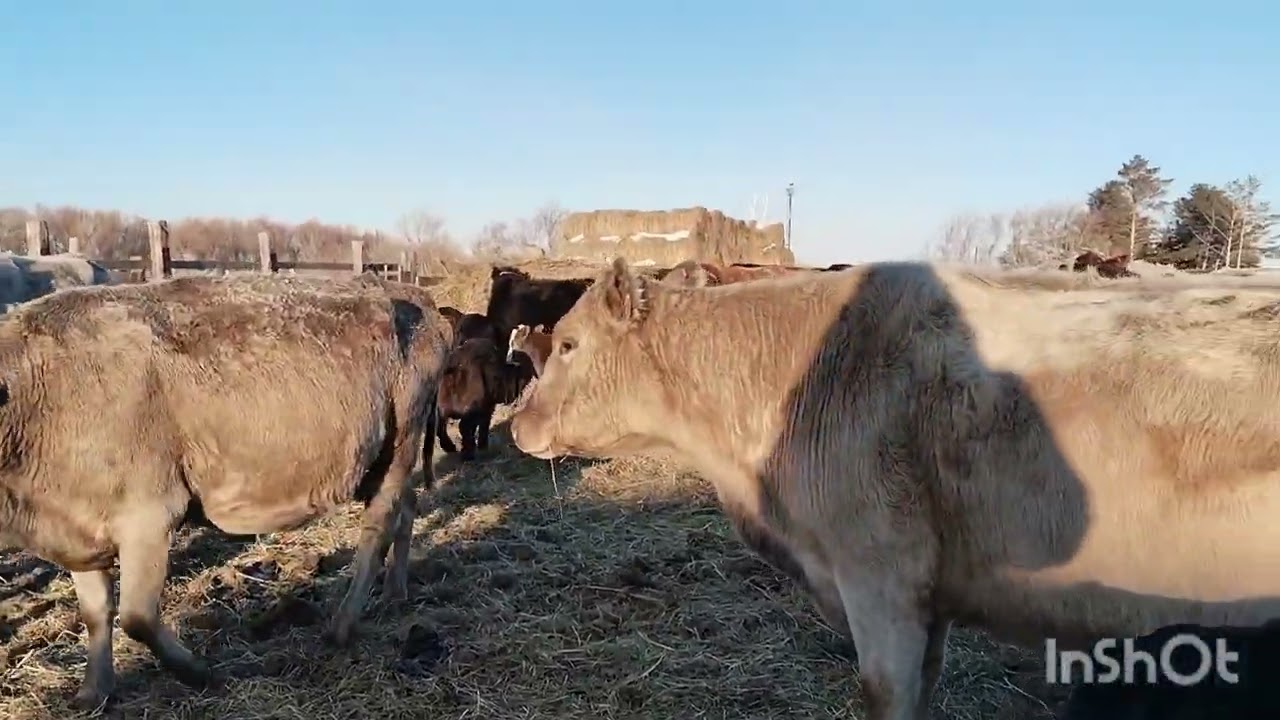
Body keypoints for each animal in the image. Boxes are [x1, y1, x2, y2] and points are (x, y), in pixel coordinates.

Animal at [0, 273, 452, 709]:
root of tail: (410, 292)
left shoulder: (148, 515)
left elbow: (136, 617)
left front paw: (198, 672)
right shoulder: (80, 531)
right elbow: (96, 613)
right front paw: (93, 692)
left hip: (401, 443)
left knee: (377, 528)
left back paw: (342, 626)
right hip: (378, 463)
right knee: (406, 509)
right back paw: (395, 592)